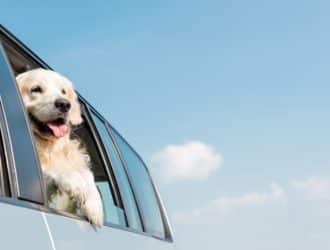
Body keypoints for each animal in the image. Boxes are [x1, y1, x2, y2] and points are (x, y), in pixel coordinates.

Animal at [15, 68, 102, 227]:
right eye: (36, 89)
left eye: (63, 91)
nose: (64, 104)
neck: (50, 147)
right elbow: (51, 170)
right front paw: (74, 180)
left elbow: (87, 174)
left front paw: (94, 205)